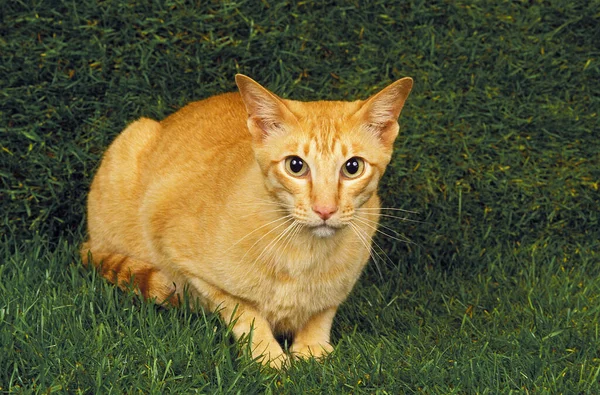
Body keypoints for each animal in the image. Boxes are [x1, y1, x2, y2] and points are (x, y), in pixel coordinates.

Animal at [81, 73, 412, 368]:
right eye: (296, 166)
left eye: (353, 167)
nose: (325, 209)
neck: (304, 256)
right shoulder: (184, 259)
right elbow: (245, 313)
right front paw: (268, 355)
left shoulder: (343, 283)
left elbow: (323, 311)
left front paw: (312, 348)